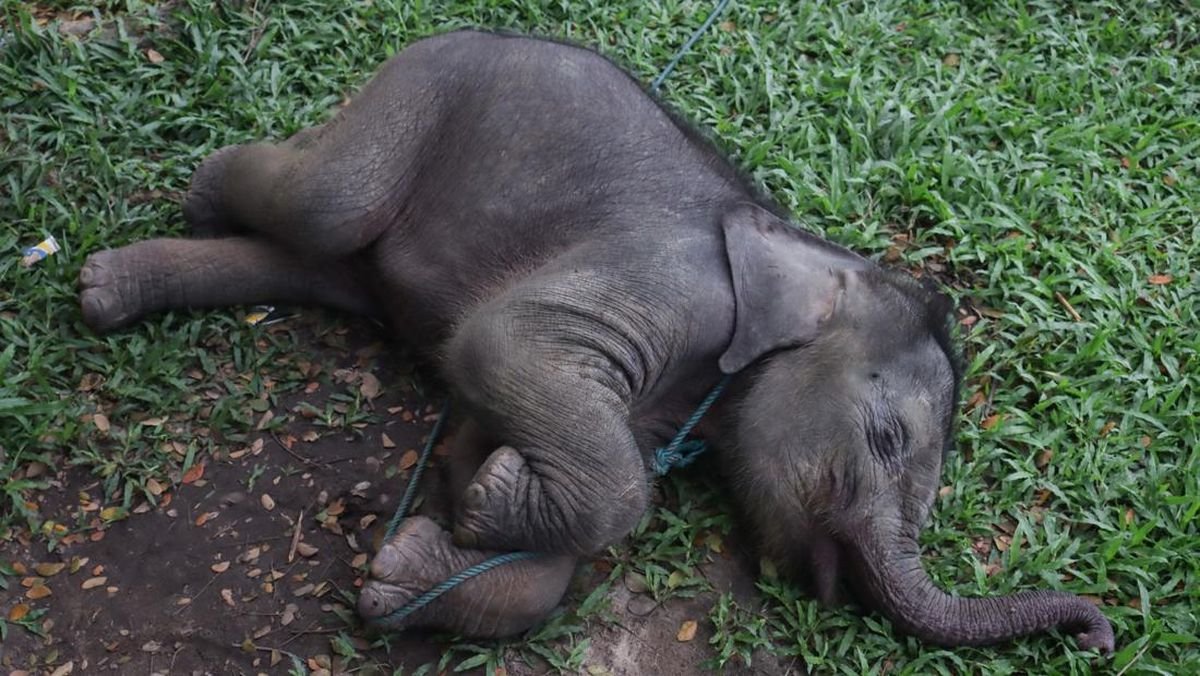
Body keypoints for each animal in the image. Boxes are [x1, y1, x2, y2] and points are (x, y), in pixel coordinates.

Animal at [79, 29, 1113, 653]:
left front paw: (420, 552)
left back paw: (107, 288)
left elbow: (502, 466)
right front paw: (487, 503)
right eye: (888, 438)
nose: (1100, 638)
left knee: (312, 261)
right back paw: (198, 196)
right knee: (327, 203)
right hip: (427, 85)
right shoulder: (671, 284)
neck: (811, 250)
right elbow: (506, 345)